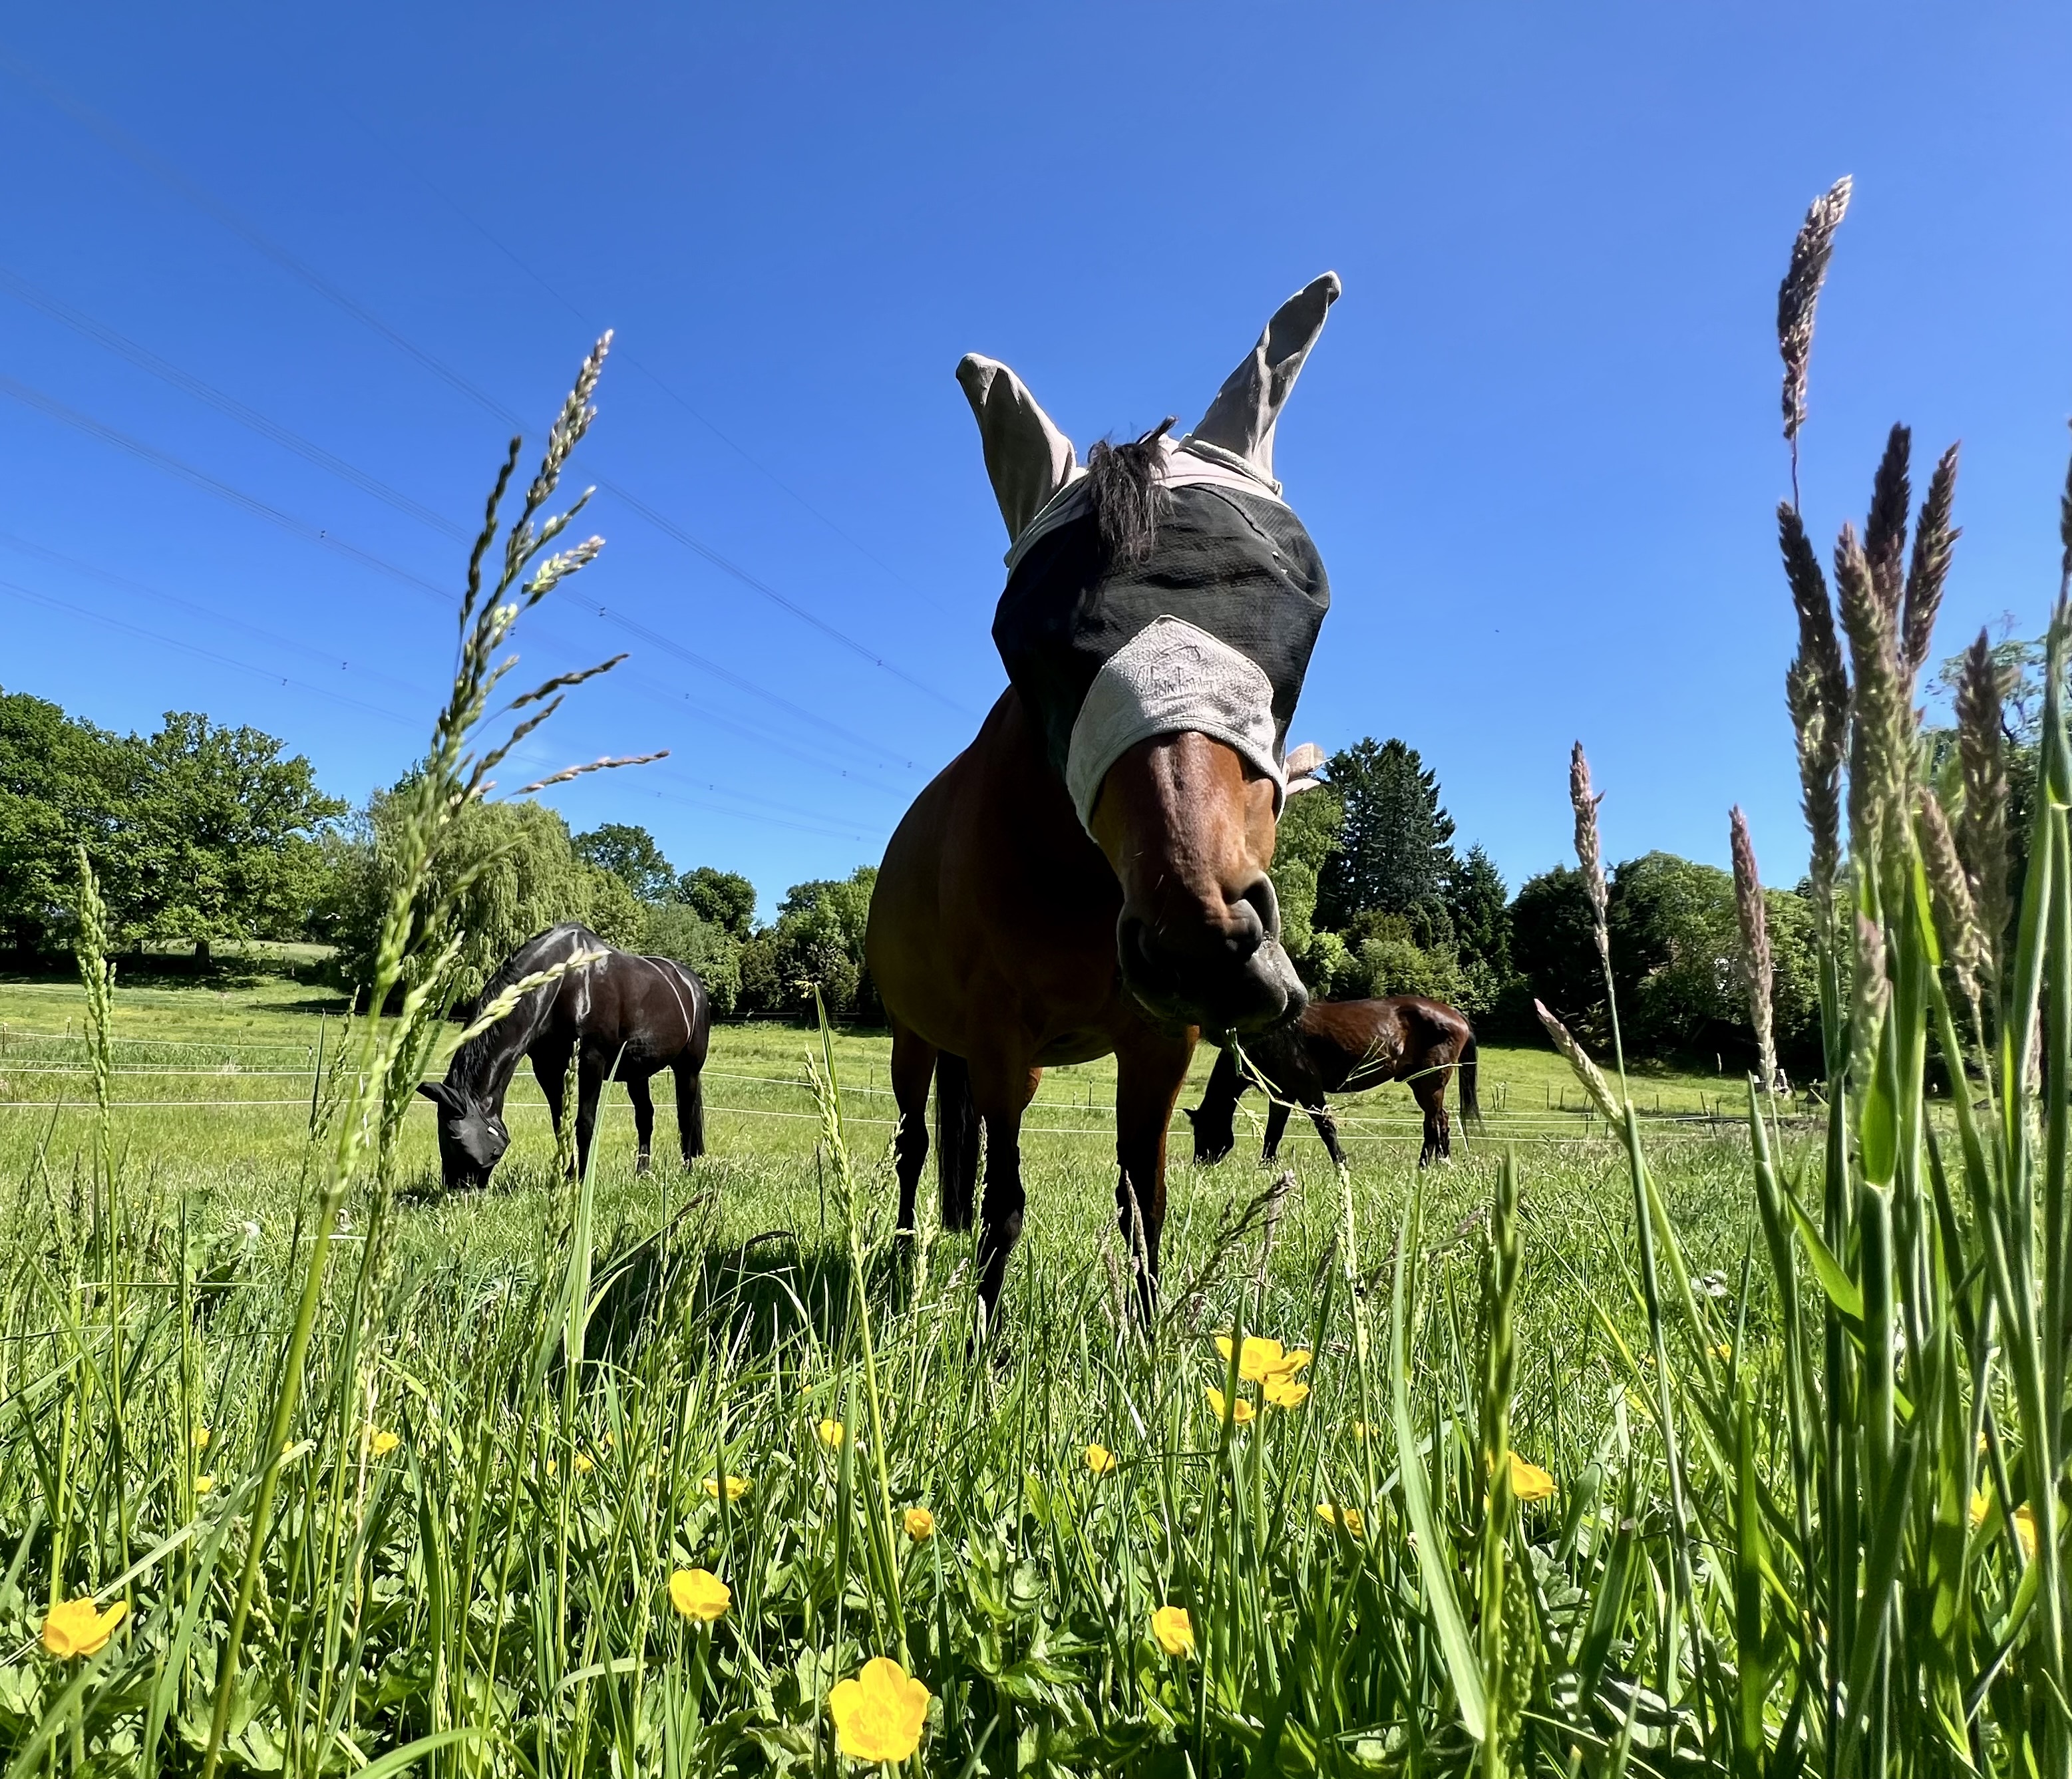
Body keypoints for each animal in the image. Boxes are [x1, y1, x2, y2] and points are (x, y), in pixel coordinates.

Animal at [415, 922, 710, 1188]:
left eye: (456, 1138)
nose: (457, 1191)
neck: (567, 979)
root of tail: (691, 982)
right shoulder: (548, 1068)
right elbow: (561, 1123)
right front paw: (567, 1176)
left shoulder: (592, 1062)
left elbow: (585, 1123)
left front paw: (583, 1180)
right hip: (638, 1074)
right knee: (645, 1117)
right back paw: (642, 1172)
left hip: (688, 1068)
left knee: (686, 1115)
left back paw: (688, 1169)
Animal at [867, 273, 1343, 1330]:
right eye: (1030, 638)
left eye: (1299, 608)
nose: (1200, 937)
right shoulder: (996, 1040)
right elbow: (1004, 1203)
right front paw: (985, 1351)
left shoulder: (1158, 1045)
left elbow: (1143, 1198)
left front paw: (1147, 1344)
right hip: (917, 1039)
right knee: (916, 1146)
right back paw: (906, 1261)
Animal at [1185, 995, 1481, 1170]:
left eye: (1202, 1131)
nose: (1199, 1164)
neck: (1267, 1040)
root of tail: (1456, 1015)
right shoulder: (1284, 1094)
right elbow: (1274, 1132)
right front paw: (1266, 1166)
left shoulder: (1307, 1088)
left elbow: (1325, 1127)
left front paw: (1341, 1162)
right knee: (1440, 1120)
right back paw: (1441, 1162)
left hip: (1428, 1084)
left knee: (1434, 1121)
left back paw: (1426, 1165)